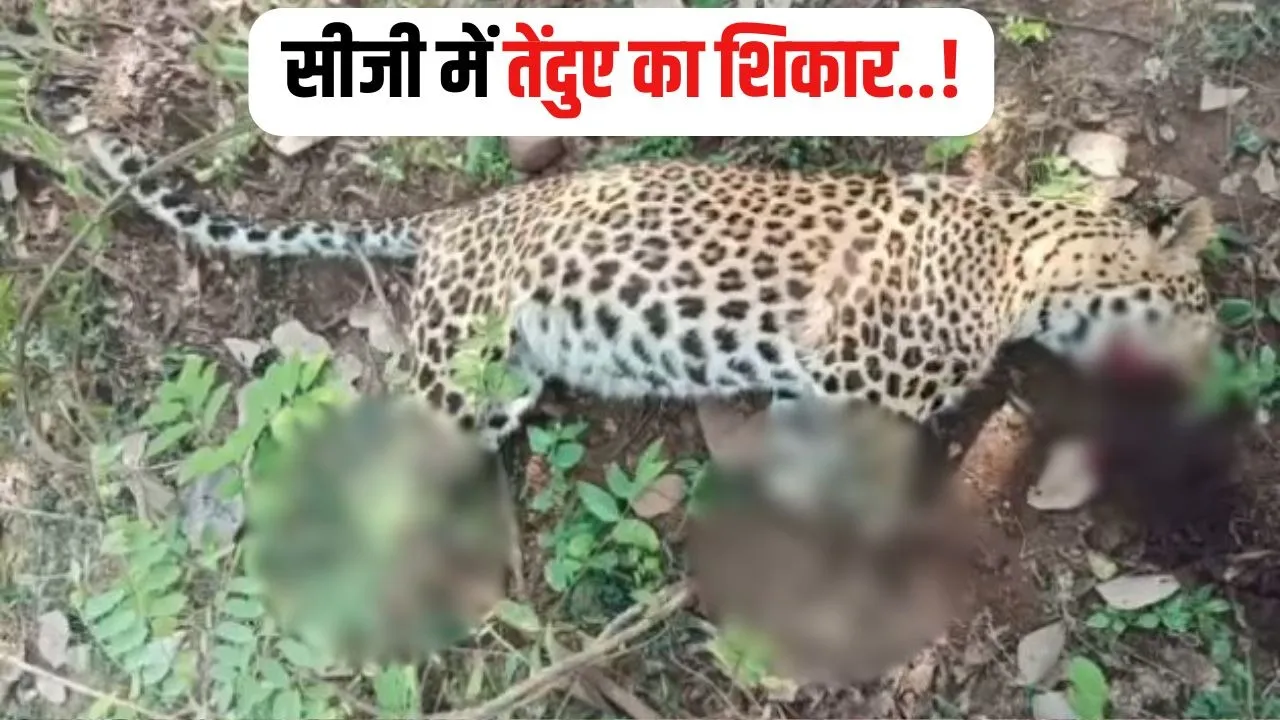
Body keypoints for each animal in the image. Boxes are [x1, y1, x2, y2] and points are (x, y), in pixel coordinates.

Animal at [85, 132, 1220, 471]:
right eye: (1199, 313)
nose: (1211, 380)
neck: (1021, 266)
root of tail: (453, 218)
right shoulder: (856, 389)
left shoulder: (820, 396)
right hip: (456, 359)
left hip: (503, 380)